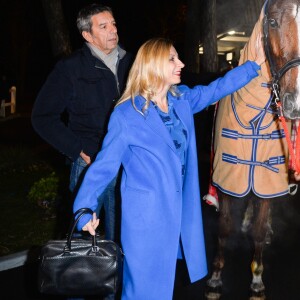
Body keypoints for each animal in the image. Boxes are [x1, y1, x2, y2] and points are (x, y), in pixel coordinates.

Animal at [205, 0, 300, 300]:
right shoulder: (227, 179)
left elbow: (258, 229)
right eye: (272, 22)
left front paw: (257, 279)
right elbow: (224, 228)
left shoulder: (266, 178)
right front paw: (215, 278)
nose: (296, 101)